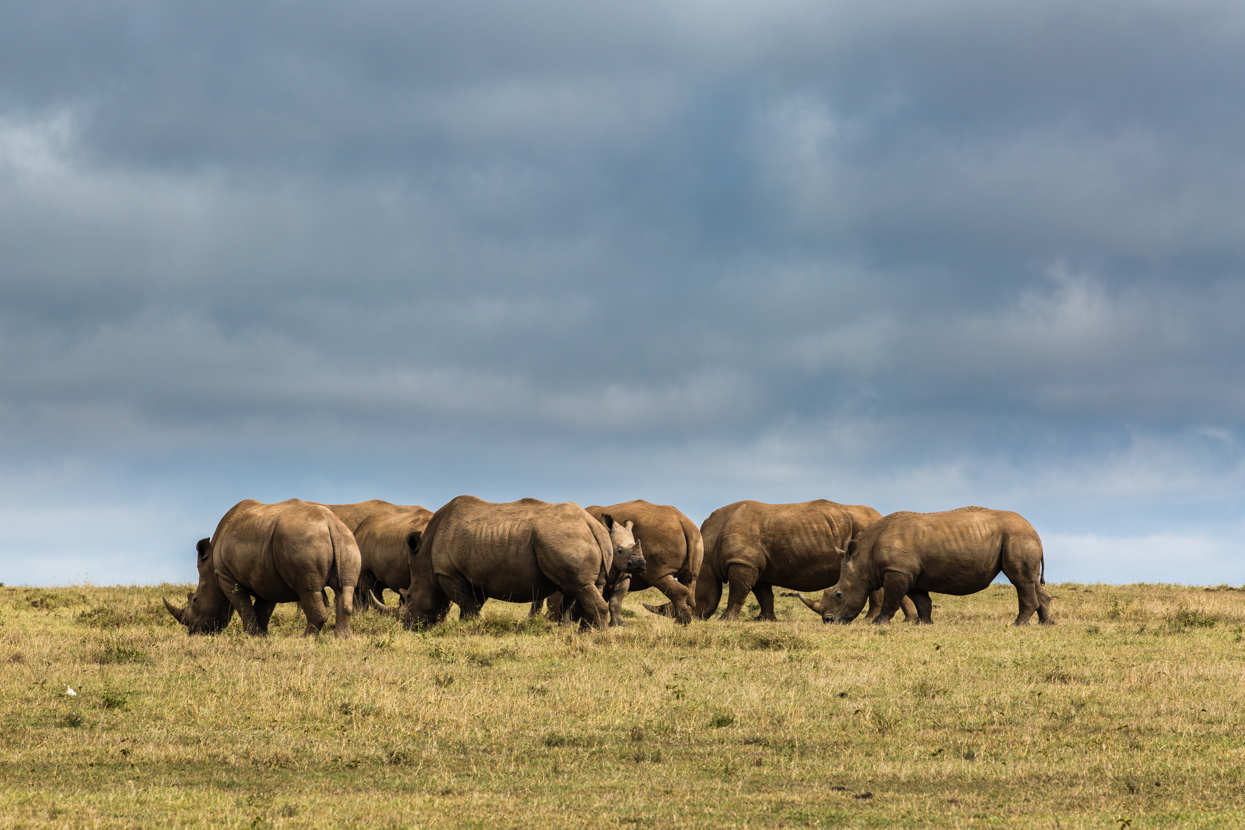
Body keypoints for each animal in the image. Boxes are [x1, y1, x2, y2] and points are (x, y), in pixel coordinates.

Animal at [161, 497, 361, 642]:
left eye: (195, 600)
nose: (193, 633)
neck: (210, 569)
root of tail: (330, 523)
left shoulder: (226, 576)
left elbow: (243, 605)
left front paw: (251, 635)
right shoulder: (267, 576)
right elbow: (263, 607)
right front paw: (263, 636)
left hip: (303, 541)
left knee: (308, 590)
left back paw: (306, 638)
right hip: (346, 538)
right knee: (345, 588)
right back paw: (343, 638)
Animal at [368, 492, 632, 629]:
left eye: (410, 597)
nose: (407, 626)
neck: (423, 560)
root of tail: (589, 521)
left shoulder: (448, 572)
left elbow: (466, 604)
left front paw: (468, 628)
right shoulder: (475, 576)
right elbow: (472, 604)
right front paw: (466, 626)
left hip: (563, 536)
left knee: (579, 585)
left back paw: (593, 635)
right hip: (581, 538)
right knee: (580, 587)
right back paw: (576, 631)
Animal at [662, 500, 916, 622]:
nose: (685, 617)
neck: (708, 553)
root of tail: (879, 516)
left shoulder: (742, 562)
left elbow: (737, 593)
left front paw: (726, 620)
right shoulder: (756, 565)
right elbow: (763, 595)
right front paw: (764, 620)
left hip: (864, 531)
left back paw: (869, 620)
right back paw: (910, 620)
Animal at [821, 502, 1055, 627]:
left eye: (838, 594)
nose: (828, 620)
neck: (862, 558)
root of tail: (1033, 529)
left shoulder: (897, 570)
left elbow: (891, 599)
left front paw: (878, 623)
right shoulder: (910, 574)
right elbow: (922, 600)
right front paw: (923, 623)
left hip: (1017, 536)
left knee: (1020, 580)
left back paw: (1018, 624)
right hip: (1020, 537)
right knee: (1031, 581)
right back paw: (1046, 623)